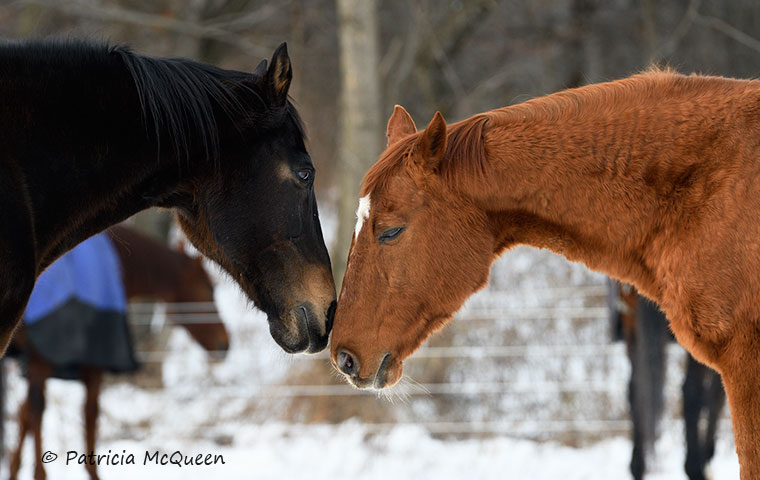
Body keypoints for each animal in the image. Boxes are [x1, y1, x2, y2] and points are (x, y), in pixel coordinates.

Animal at [6, 226, 229, 480]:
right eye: (207, 289)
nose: (225, 344)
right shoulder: (69, 359)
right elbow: (77, 413)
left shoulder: (41, 361)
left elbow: (26, 413)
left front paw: (14, 469)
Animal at [612, 282, 724, 480]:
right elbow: (716, 396)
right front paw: (707, 457)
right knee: (691, 391)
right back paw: (695, 468)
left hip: (631, 323)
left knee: (636, 393)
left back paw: (638, 467)